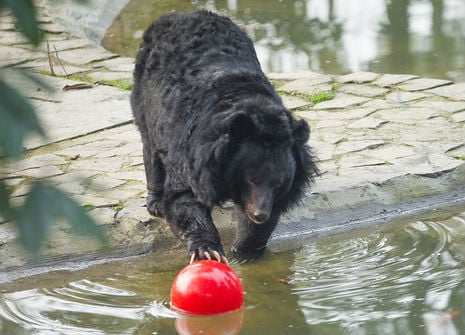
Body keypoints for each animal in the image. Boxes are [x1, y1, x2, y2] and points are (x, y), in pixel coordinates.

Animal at [131, 10, 320, 264]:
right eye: (251, 179)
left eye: (279, 184)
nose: (260, 213)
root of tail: (183, 14)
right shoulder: (191, 150)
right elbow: (184, 197)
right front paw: (208, 250)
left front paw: (245, 250)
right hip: (145, 95)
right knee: (149, 146)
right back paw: (155, 203)